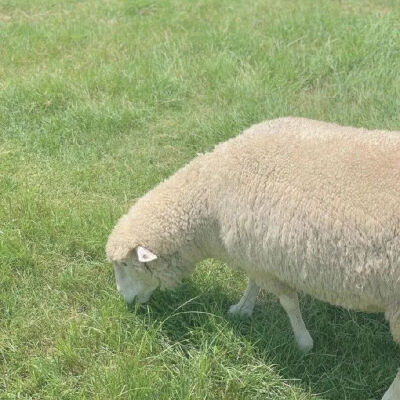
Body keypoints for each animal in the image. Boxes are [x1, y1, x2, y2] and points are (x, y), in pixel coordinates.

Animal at [105, 117, 400, 398]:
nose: (122, 297)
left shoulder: (267, 261)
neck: (211, 200)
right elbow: (253, 283)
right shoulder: (253, 253)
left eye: (125, 263)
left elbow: (288, 303)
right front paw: (242, 309)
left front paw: (303, 342)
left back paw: (388, 395)